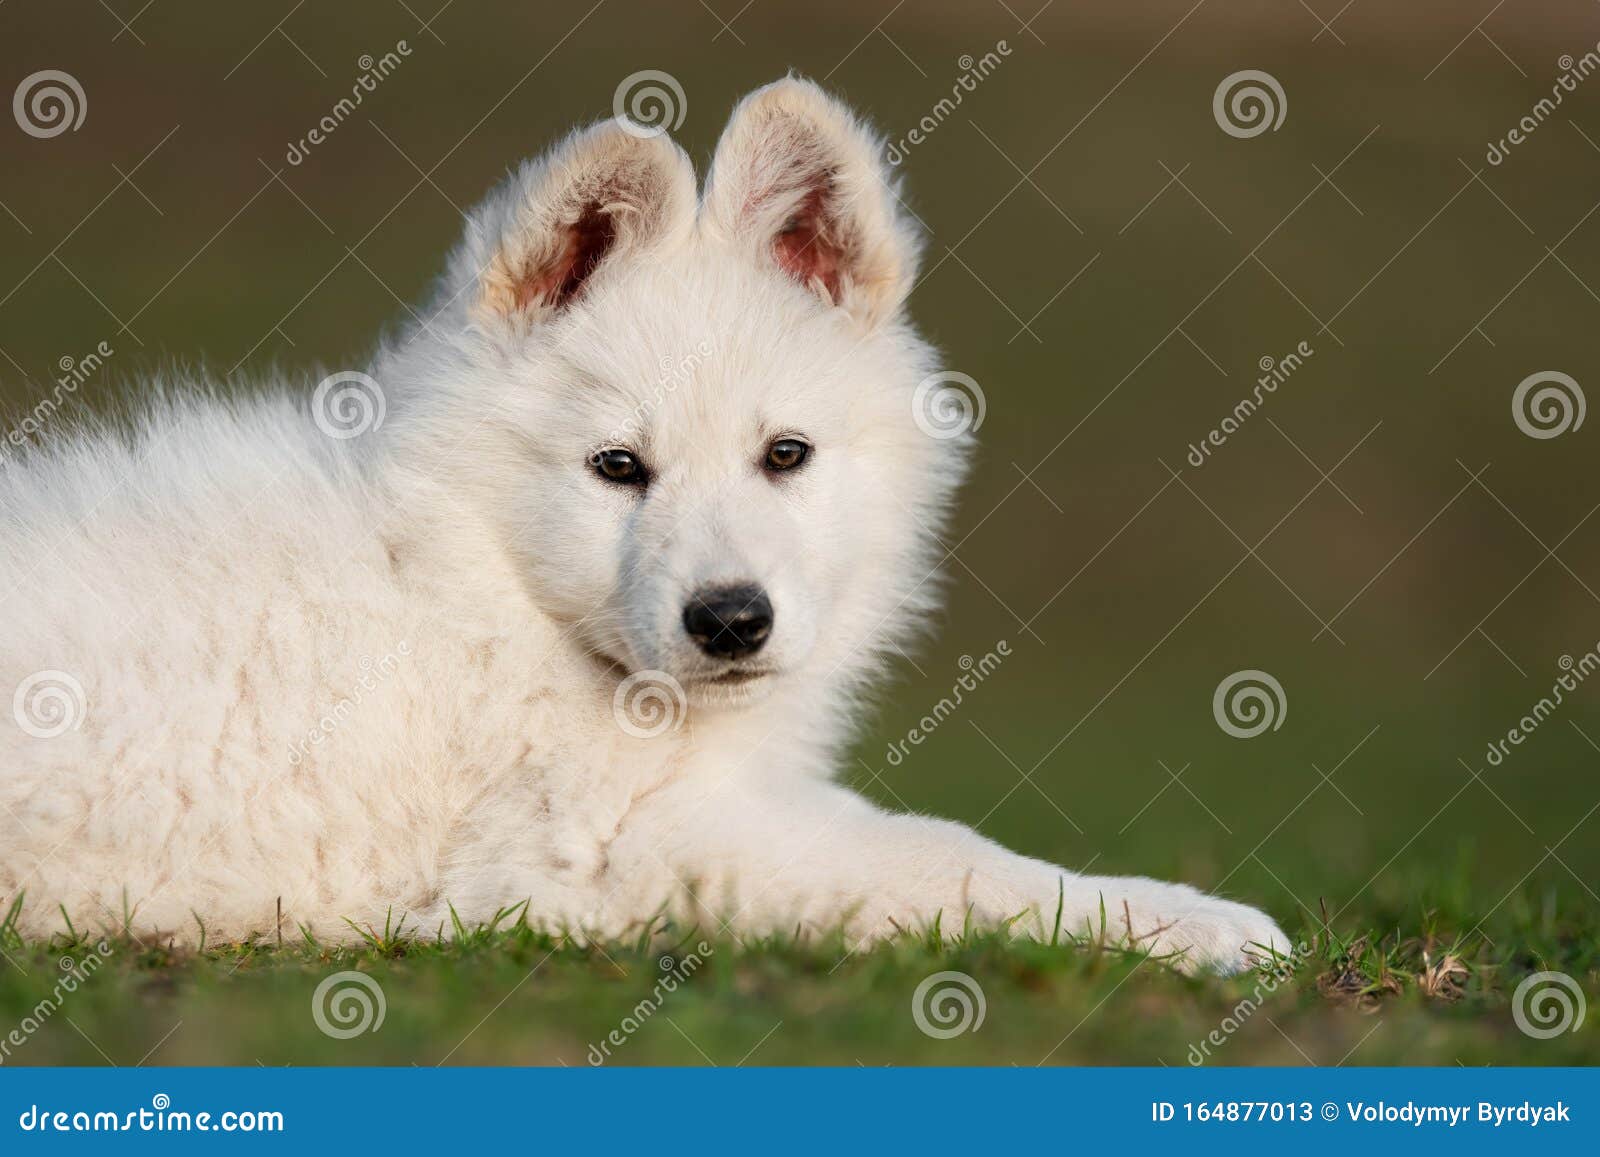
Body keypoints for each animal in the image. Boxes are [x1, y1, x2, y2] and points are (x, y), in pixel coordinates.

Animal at [3, 76, 1286, 972]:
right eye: (617, 467)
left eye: (785, 455)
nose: (729, 621)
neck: (487, 575)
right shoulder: (627, 849)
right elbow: (944, 855)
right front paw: (1196, 922)